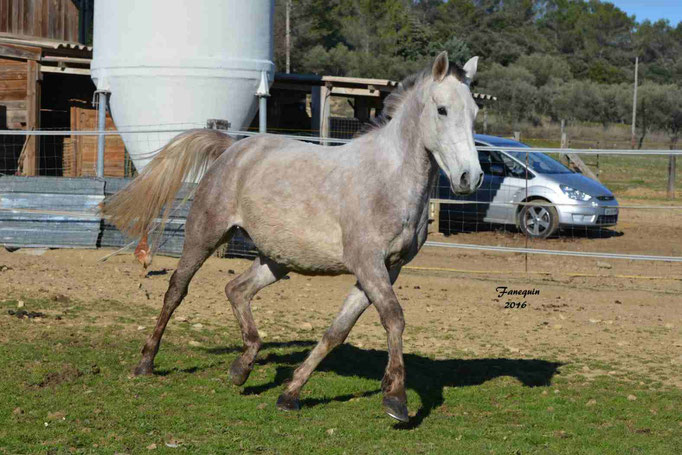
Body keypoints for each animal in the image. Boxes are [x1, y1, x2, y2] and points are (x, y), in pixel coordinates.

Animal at [101, 51, 484, 422]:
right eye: (442, 109)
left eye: (475, 113)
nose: (470, 177)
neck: (388, 180)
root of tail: (232, 149)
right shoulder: (368, 263)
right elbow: (393, 317)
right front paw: (396, 400)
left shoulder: (388, 269)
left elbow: (338, 330)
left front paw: (290, 395)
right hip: (205, 234)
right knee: (176, 289)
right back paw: (146, 363)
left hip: (276, 260)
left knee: (236, 290)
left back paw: (242, 367)